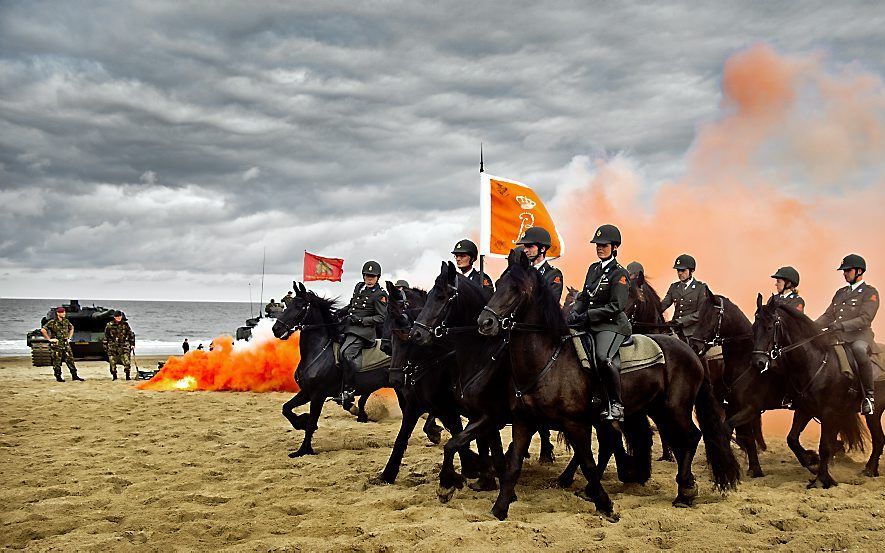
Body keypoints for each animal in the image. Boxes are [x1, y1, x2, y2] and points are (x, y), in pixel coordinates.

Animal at [272, 282, 392, 454]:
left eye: (300, 306)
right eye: (288, 304)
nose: (276, 329)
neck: (318, 351)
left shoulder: (318, 395)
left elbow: (311, 424)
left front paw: (303, 450)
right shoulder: (306, 392)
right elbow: (286, 408)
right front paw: (300, 421)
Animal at [476, 248, 740, 520]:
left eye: (516, 288)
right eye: (498, 283)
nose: (485, 322)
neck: (548, 359)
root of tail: (690, 350)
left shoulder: (576, 423)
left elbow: (589, 464)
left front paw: (604, 504)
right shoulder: (523, 422)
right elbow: (514, 465)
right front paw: (500, 508)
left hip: (675, 408)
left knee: (691, 436)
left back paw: (684, 492)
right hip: (657, 409)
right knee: (680, 439)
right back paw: (684, 486)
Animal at [752, 296, 876, 486]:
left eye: (769, 327)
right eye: (754, 327)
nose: (757, 362)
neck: (815, 362)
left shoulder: (829, 413)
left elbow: (825, 446)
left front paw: (822, 479)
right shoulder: (805, 409)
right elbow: (792, 439)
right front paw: (812, 462)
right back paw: (869, 470)